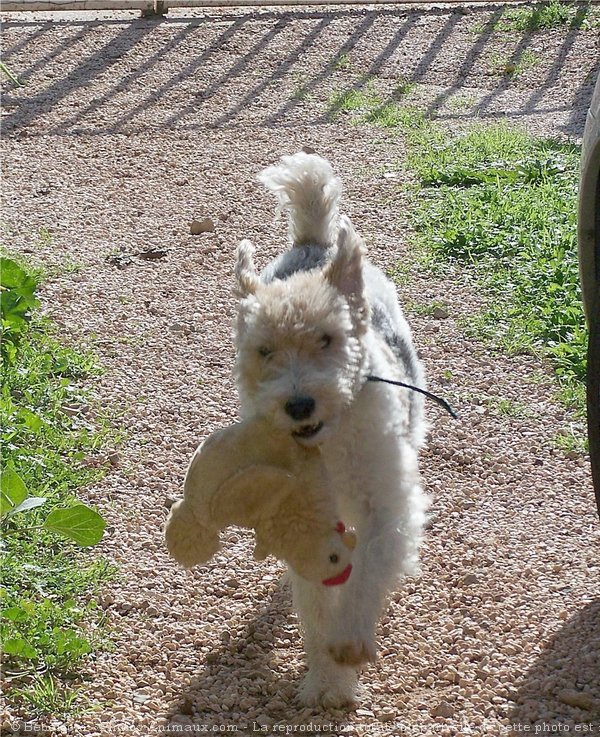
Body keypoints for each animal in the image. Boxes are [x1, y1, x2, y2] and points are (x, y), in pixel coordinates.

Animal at [232, 151, 428, 708]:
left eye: (327, 338)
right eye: (264, 350)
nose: (298, 404)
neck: (332, 443)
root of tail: (313, 241)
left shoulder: (389, 507)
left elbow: (368, 571)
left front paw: (350, 643)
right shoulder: (310, 523)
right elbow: (316, 607)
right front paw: (326, 681)